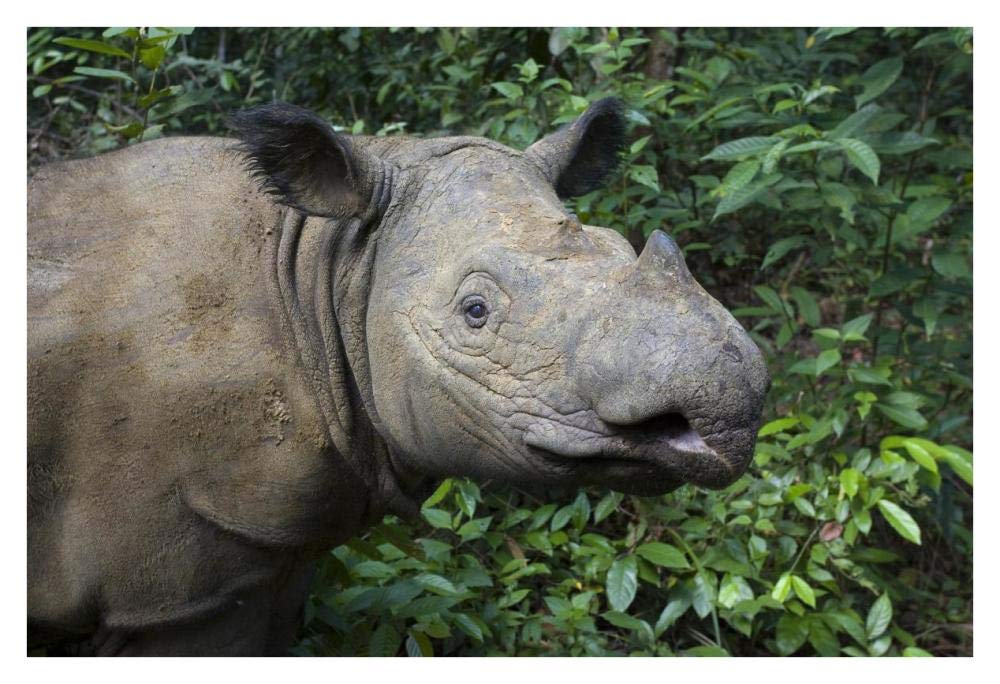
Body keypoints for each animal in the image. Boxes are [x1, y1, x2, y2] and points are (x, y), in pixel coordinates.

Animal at [27, 98, 769, 655]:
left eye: (620, 248)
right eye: (474, 312)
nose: (727, 409)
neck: (328, 265)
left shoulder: (275, 544)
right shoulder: (182, 590)